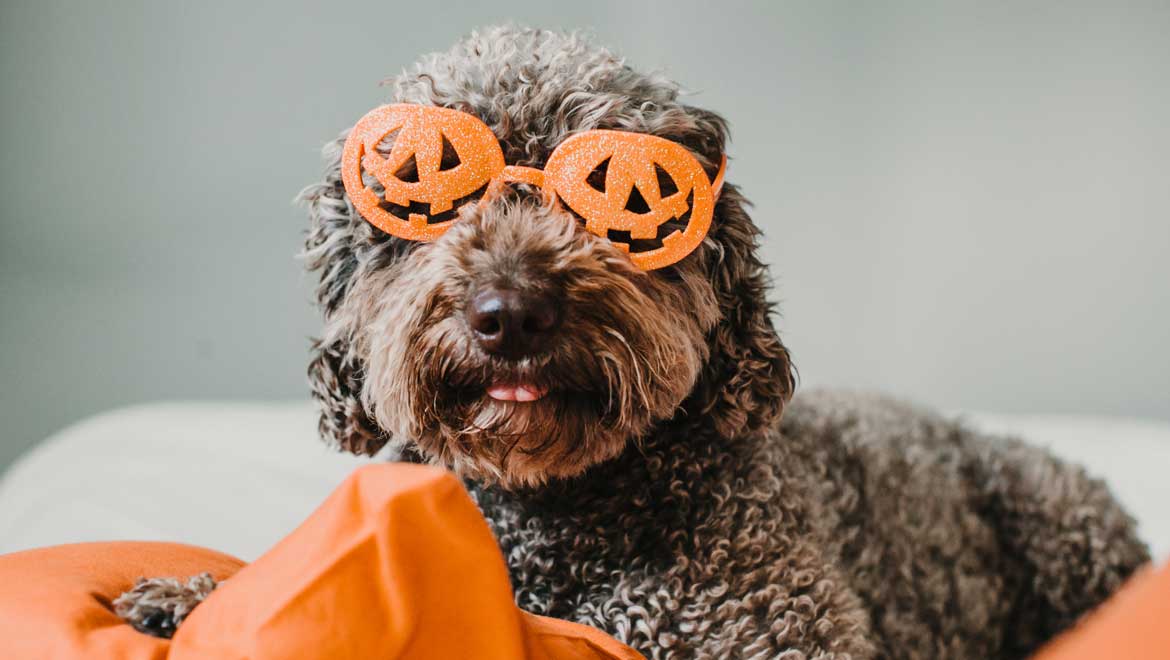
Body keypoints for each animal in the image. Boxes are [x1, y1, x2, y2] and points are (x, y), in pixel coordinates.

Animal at [123, 24, 1146, 655]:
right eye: (429, 196)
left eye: (620, 202)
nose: (511, 312)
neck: (555, 519)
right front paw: (188, 597)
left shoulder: (775, 624)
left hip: (1064, 527)